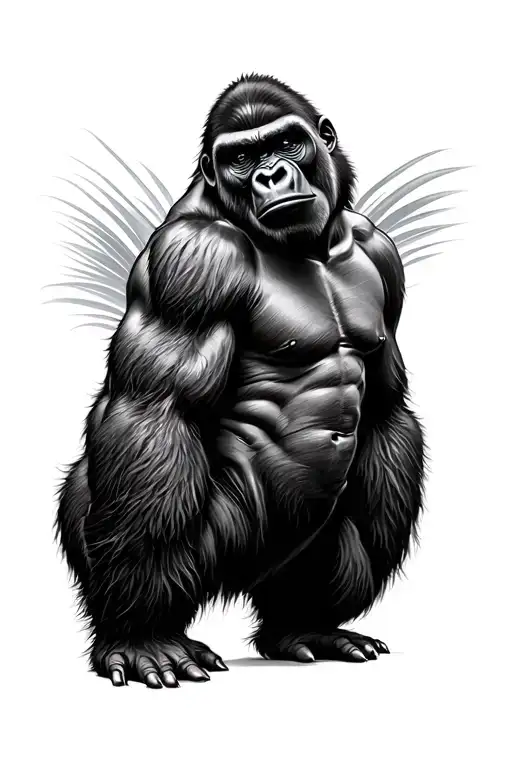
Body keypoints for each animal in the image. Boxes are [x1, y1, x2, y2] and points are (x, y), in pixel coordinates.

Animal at [57, 74, 425, 688]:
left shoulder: (380, 250)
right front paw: (140, 634)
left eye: (287, 143)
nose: (270, 175)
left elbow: (387, 406)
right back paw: (144, 625)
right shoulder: (194, 258)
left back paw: (304, 622)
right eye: (241, 158)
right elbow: (157, 410)